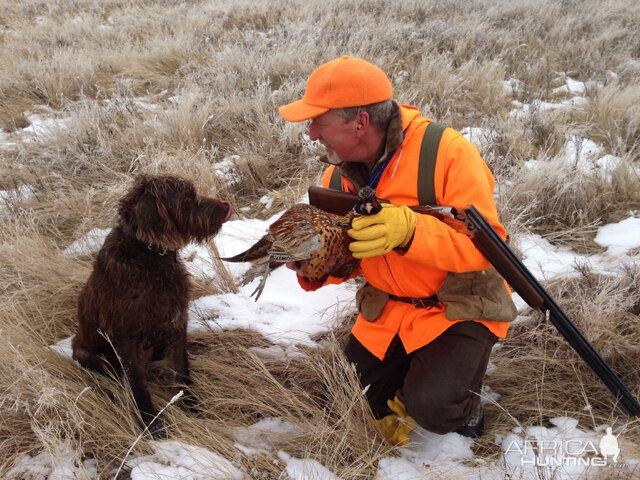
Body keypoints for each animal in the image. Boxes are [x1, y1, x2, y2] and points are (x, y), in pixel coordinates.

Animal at [73, 174, 232, 436]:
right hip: (85, 353)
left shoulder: (177, 323)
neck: (151, 257)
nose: (225, 205)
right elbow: (138, 385)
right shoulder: (125, 338)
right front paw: (151, 424)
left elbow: (182, 369)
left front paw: (191, 403)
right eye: (187, 198)